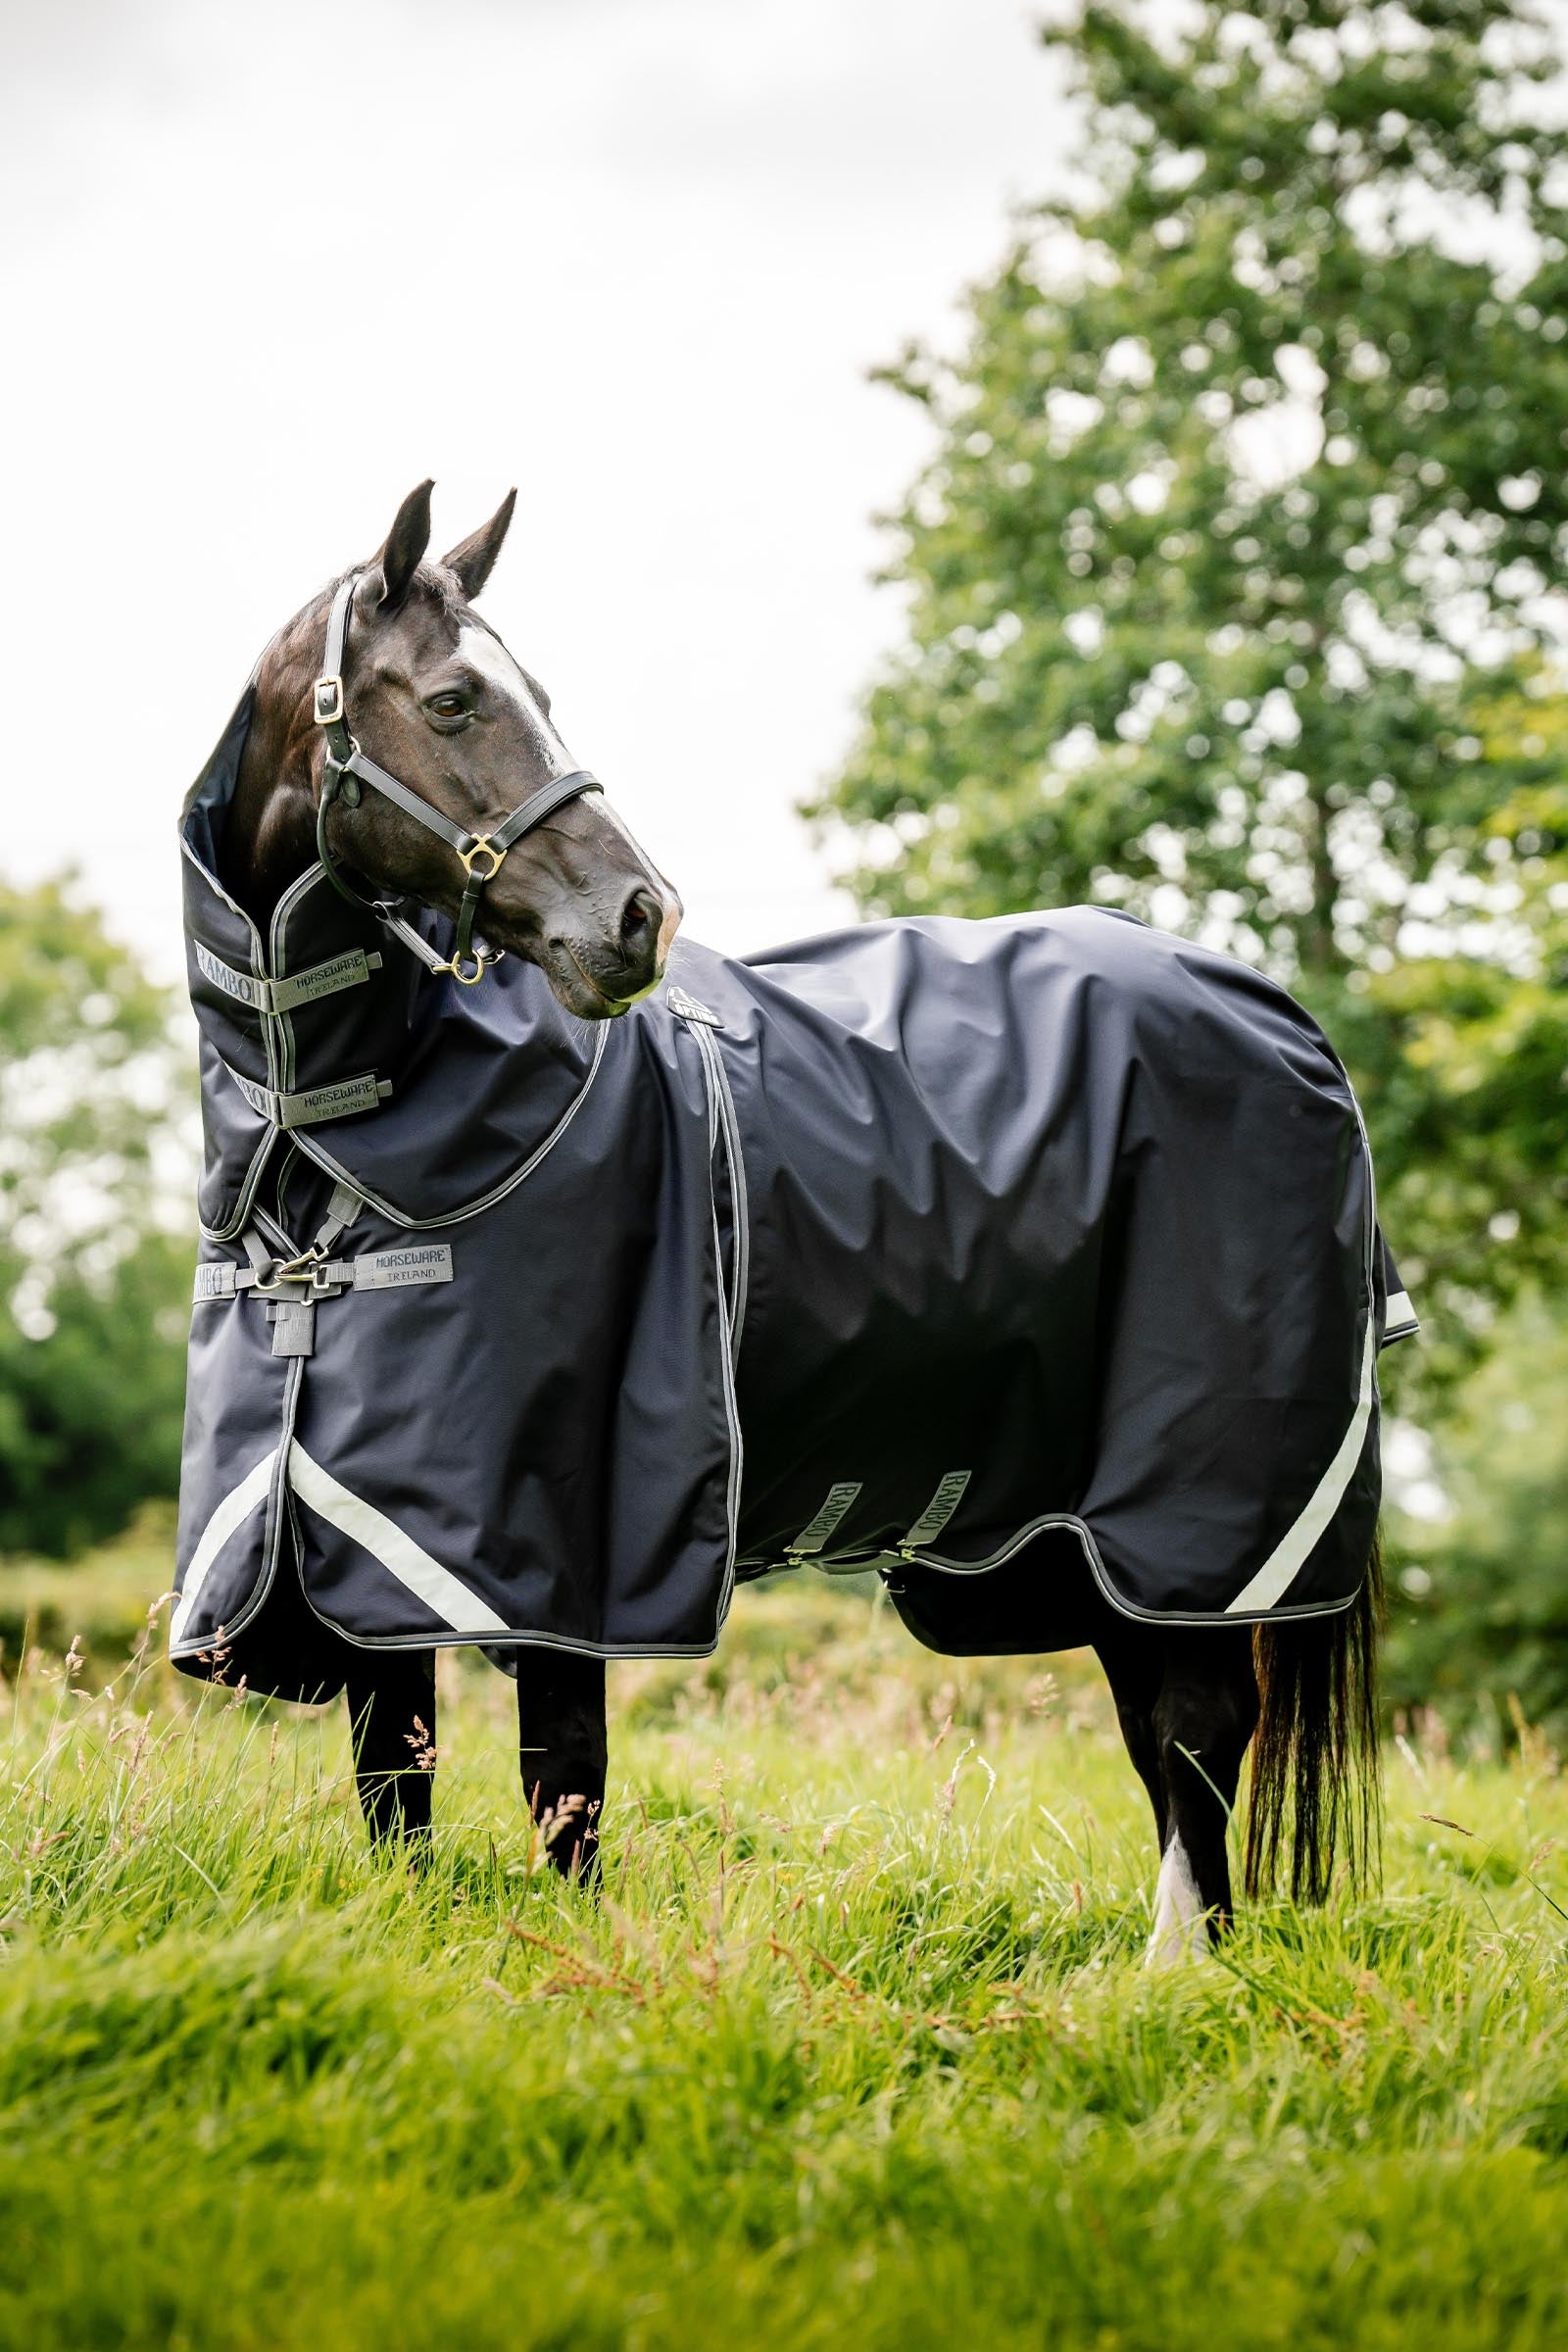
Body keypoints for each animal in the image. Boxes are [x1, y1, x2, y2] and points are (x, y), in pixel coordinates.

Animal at [181, 479, 1395, 1960]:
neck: (330, 1138)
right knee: (1164, 1733)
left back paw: (1177, 1977)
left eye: (539, 692)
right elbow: (393, 1785)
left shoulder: (572, 1555)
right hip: (1099, 1548)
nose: (638, 917)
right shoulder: (362, 1554)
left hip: (1196, 1511)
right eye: (458, 698)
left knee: (1199, 1733)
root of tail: (1276, 1012)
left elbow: (564, 1794)